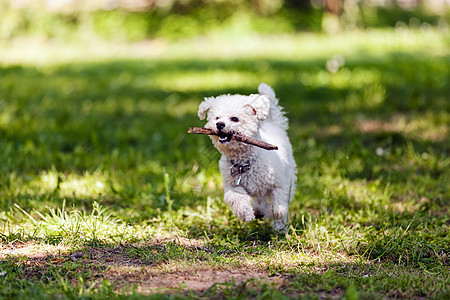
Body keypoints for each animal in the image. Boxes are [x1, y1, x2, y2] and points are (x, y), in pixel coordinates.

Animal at [198, 83, 298, 231]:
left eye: (234, 118)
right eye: (216, 118)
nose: (219, 124)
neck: (243, 163)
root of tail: (273, 124)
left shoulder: (278, 184)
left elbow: (278, 206)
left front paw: (273, 213)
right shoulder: (232, 185)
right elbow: (235, 198)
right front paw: (246, 214)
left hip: (289, 175)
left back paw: (279, 226)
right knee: (259, 199)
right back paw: (258, 211)